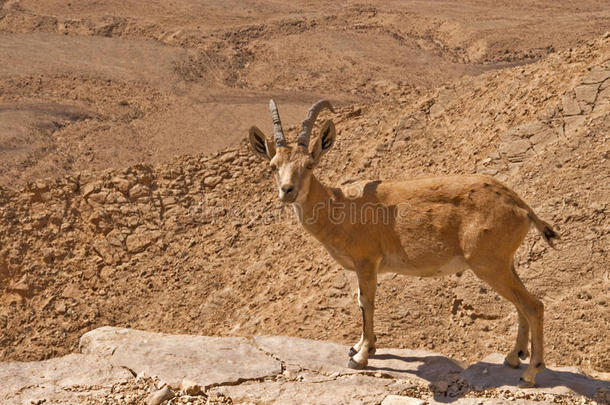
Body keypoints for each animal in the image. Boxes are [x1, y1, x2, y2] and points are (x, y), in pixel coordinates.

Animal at [246, 99, 556, 386]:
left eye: (309, 165)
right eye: (273, 166)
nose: (287, 190)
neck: (340, 208)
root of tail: (520, 205)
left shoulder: (366, 261)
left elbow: (365, 301)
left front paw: (361, 357)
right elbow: (361, 302)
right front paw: (361, 346)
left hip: (489, 264)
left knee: (533, 305)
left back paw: (530, 373)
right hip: (504, 262)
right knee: (521, 304)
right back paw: (513, 357)